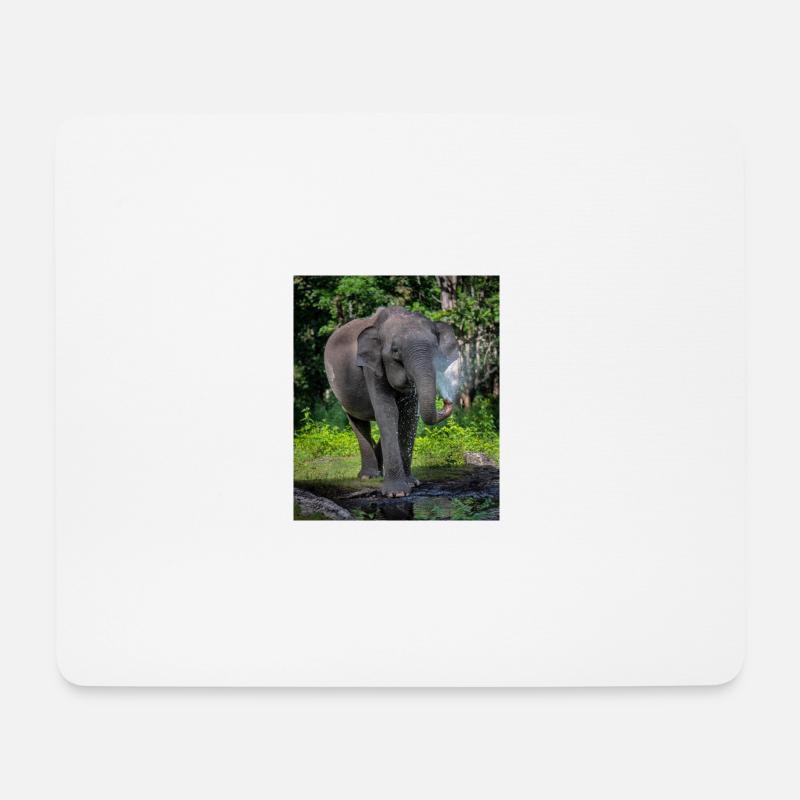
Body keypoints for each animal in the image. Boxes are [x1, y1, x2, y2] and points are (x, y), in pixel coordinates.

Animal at [324, 306, 461, 497]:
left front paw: (412, 483)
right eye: (395, 351)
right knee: (358, 422)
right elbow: (388, 412)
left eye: (435, 349)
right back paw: (368, 476)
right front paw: (397, 493)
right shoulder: (371, 366)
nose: (447, 402)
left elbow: (408, 416)